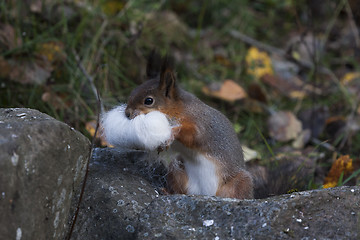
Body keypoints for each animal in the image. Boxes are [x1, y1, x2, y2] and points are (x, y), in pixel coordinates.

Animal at [125, 52, 255, 199]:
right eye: (134, 90)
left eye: (148, 101)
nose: (127, 113)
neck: (177, 110)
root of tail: (205, 193)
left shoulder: (199, 123)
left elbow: (194, 136)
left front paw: (172, 133)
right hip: (176, 171)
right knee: (181, 189)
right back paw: (168, 191)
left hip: (241, 182)